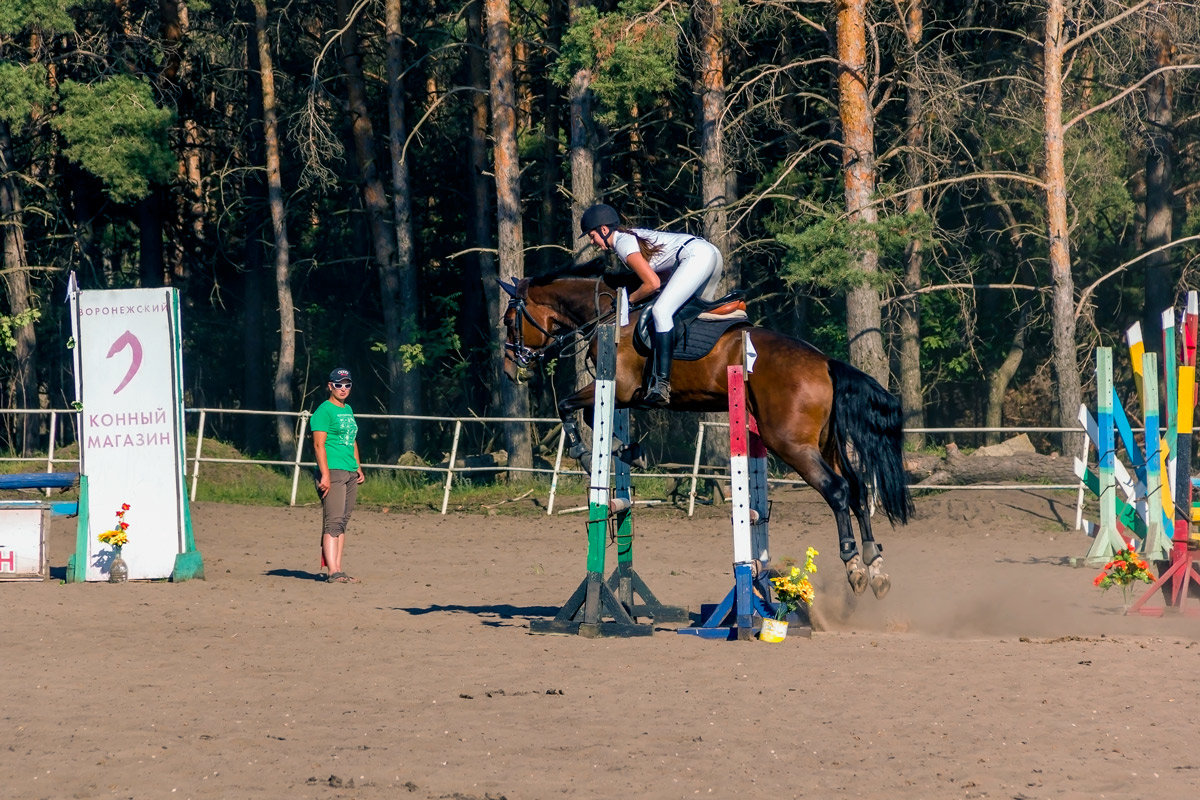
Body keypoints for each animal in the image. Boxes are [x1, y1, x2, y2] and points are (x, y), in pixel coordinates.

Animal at [501, 272, 912, 597]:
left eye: (509, 319)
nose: (509, 368)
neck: (609, 315)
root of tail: (826, 362)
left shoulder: (621, 388)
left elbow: (570, 408)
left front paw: (590, 455)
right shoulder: (621, 394)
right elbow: (587, 415)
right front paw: (627, 450)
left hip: (790, 442)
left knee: (838, 490)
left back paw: (854, 566)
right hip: (824, 444)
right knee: (856, 490)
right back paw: (876, 566)